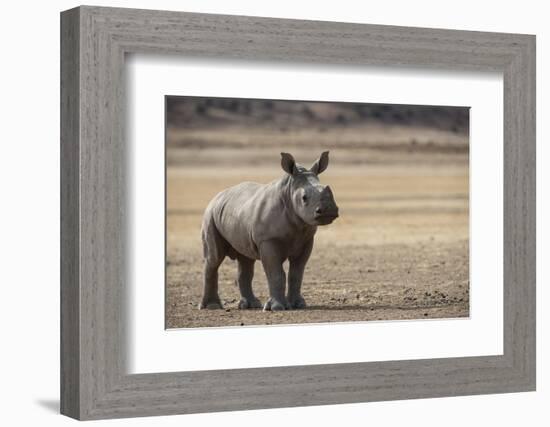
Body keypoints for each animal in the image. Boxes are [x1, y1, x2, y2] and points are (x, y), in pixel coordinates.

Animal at [201, 152, 338, 312]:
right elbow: (276, 273)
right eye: (304, 198)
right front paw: (276, 307)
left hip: (235, 212)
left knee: (245, 260)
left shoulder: (306, 240)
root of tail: (217, 196)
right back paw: (212, 306)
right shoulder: (268, 240)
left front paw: (298, 304)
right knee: (214, 259)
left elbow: (297, 273)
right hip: (210, 215)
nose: (328, 210)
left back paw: (251, 305)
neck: (288, 191)